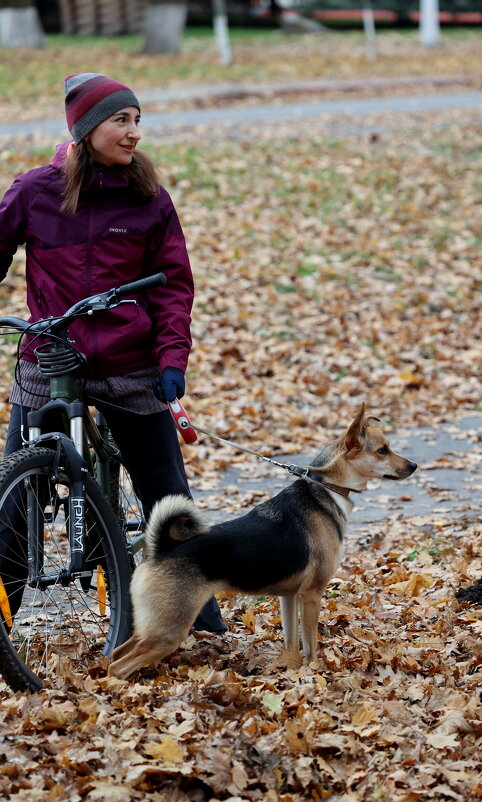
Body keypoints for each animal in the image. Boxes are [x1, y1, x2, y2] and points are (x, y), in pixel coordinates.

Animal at [107, 404, 416, 680]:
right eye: (383, 450)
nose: (414, 465)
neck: (326, 487)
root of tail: (162, 549)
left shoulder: (289, 596)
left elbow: (292, 641)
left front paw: (292, 668)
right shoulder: (312, 594)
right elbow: (311, 645)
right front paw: (315, 672)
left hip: (154, 625)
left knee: (116, 653)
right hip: (169, 630)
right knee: (117, 667)